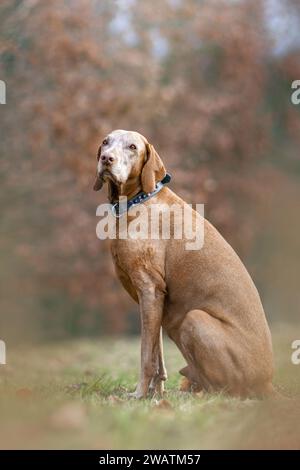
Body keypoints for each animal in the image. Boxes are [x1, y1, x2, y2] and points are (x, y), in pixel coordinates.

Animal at [93, 129, 274, 400]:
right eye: (105, 142)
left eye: (132, 147)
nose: (106, 159)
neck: (138, 201)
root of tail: (267, 383)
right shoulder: (155, 299)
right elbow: (157, 355)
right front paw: (156, 393)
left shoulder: (149, 289)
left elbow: (146, 355)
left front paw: (139, 394)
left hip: (194, 319)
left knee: (227, 390)